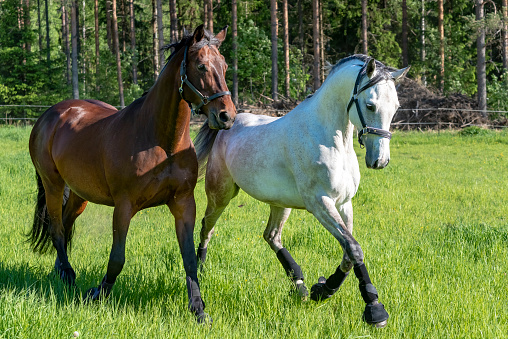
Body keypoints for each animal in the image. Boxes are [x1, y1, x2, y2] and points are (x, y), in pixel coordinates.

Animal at [27, 25, 234, 322]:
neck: (161, 142)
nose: (227, 116)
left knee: (65, 228)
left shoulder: (184, 203)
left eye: (225, 66)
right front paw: (96, 294)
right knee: (56, 228)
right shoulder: (123, 206)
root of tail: (49, 116)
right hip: (53, 184)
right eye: (201, 66)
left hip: (79, 195)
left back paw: (60, 272)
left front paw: (198, 310)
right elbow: (117, 258)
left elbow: (189, 258)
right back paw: (68, 275)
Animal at [193, 55, 408, 330]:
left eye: (396, 107)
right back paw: (201, 270)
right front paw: (374, 310)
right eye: (370, 105)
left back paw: (300, 286)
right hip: (221, 194)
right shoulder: (320, 203)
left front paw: (322, 290)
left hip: (279, 203)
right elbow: (354, 249)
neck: (330, 139)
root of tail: (226, 123)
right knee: (207, 227)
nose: (380, 161)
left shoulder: (344, 204)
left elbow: (349, 253)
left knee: (272, 236)